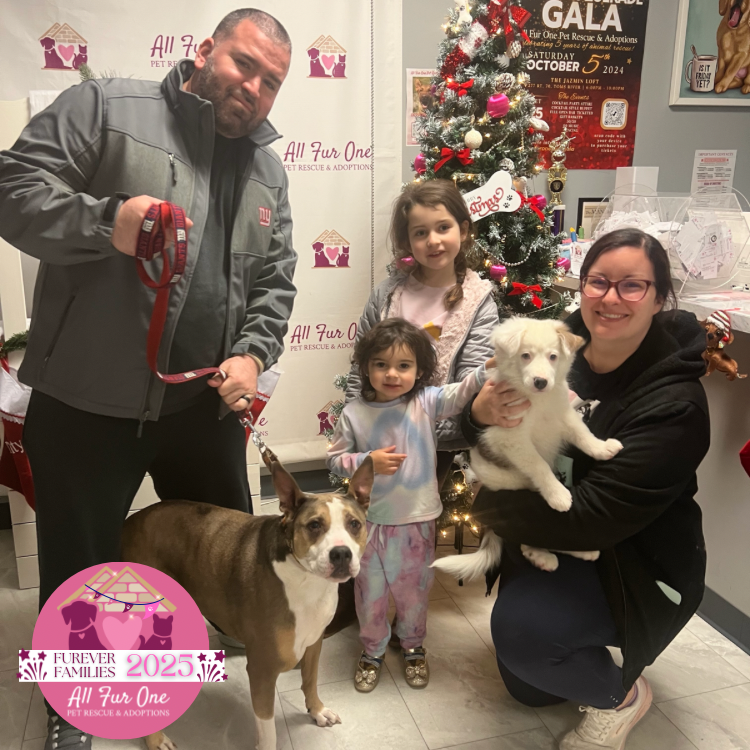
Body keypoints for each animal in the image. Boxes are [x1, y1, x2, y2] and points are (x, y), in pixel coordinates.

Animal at [121, 450, 373, 750]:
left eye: (354, 524)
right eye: (314, 525)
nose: (342, 554)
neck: (306, 580)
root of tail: (129, 523)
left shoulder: (314, 642)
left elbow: (310, 679)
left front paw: (317, 710)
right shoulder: (262, 670)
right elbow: (267, 727)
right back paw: (155, 737)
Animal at [433, 317, 622, 578]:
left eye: (553, 356)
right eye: (525, 355)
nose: (541, 382)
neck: (538, 401)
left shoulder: (563, 414)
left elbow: (583, 434)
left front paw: (602, 448)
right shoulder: (512, 436)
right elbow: (539, 465)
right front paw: (558, 494)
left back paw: (582, 551)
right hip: (516, 482)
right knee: (527, 532)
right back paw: (541, 555)